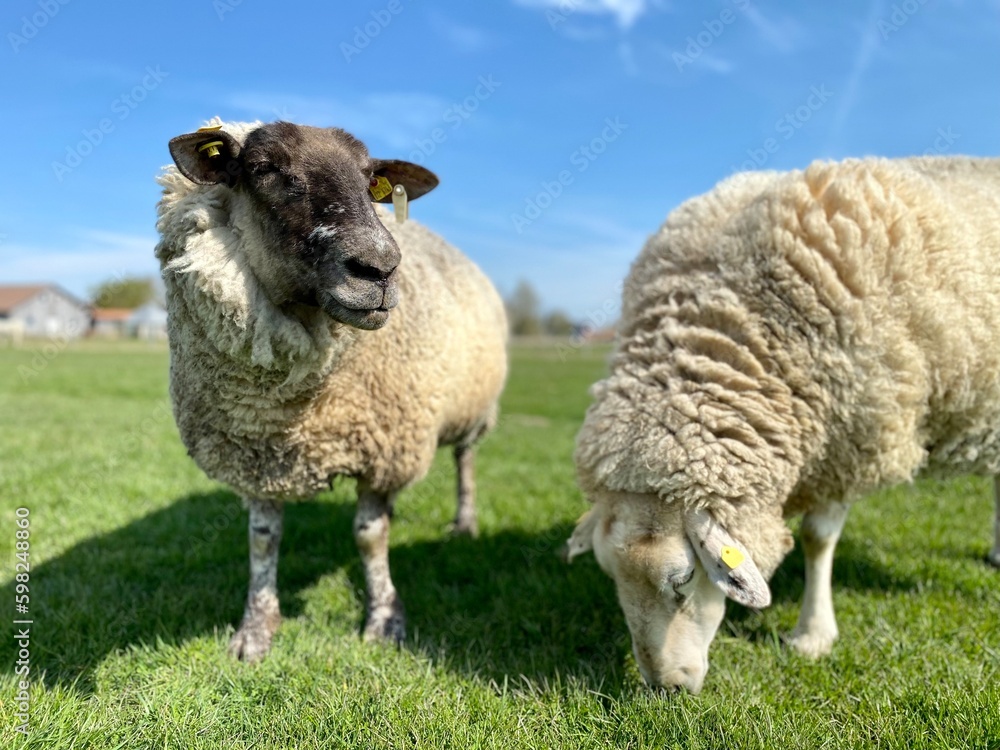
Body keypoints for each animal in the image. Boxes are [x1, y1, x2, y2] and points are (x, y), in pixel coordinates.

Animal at [156, 119, 508, 664]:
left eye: (371, 180)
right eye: (263, 168)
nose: (380, 268)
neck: (291, 411)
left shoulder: (384, 446)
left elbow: (369, 536)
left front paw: (384, 619)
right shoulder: (254, 451)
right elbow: (263, 540)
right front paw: (255, 630)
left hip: (474, 406)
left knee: (465, 461)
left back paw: (464, 523)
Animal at [568, 156, 1000, 696]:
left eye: (683, 580)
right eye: (611, 576)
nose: (665, 686)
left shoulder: (849, 438)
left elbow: (817, 538)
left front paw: (813, 634)